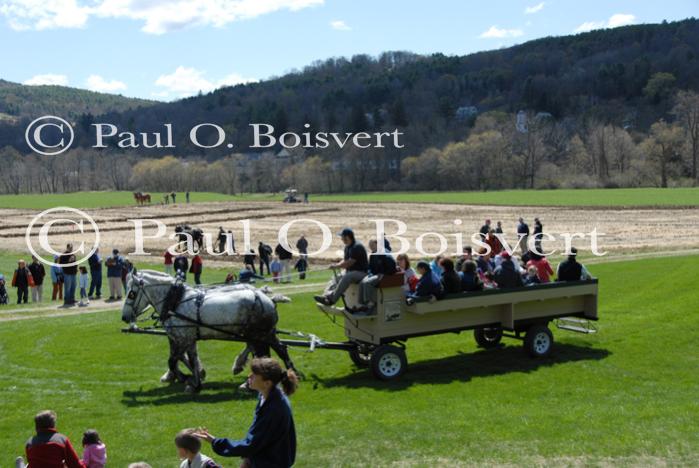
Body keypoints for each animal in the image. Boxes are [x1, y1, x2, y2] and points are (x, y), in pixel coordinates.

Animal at [121, 268, 294, 394]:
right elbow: (189, 358)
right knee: (277, 350)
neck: (176, 301)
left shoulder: (183, 337)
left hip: (258, 334)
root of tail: (267, 299)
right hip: (265, 333)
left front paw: (186, 378)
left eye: (131, 293)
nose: (124, 317)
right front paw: (196, 382)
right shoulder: (185, 338)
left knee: (263, 353)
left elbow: (173, 361)